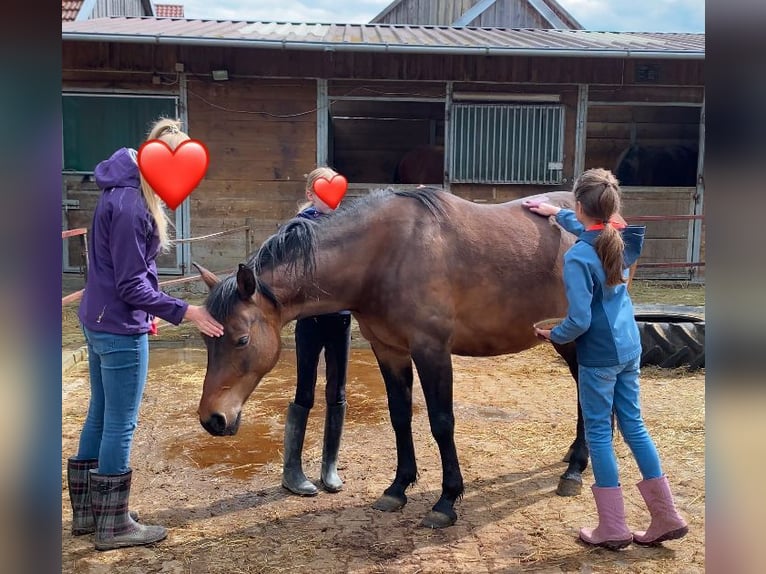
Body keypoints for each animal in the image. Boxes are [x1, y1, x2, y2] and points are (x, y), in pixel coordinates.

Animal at [194, 188, 588, 532]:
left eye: (242, 339)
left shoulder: (432, 350)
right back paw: (572, 458)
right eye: (206, 339)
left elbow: (441, 423)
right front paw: (398, 489)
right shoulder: (389, 349)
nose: (212, 419)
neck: (385, 255)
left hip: (572, 340)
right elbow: (400, 416)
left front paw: (446, 502)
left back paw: (575, 470)